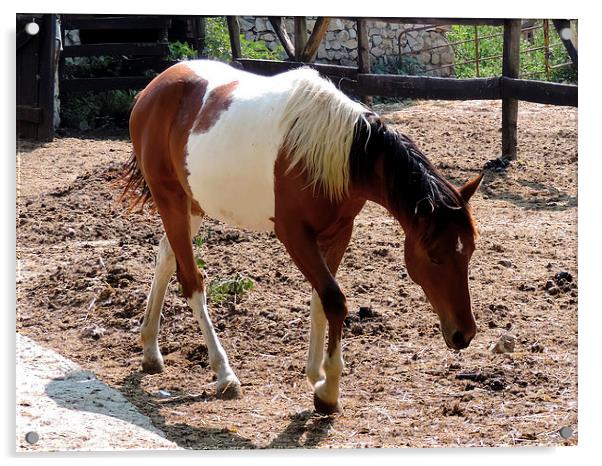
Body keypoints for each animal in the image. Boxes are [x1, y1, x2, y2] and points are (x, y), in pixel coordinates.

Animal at [122, 59, 482, 416]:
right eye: (433, 256)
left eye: (469, 252)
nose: (463, 333)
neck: (336, 154)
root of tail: (153, 89)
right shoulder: (294, 235)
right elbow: (334, 299)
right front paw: (328, 390)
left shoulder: (339, 232)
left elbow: (321, 299)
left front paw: (315, 374)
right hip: (170, 199)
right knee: (192, 282)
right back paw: (224, 374)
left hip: (193, 204)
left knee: (166, 257)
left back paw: (150, 350)